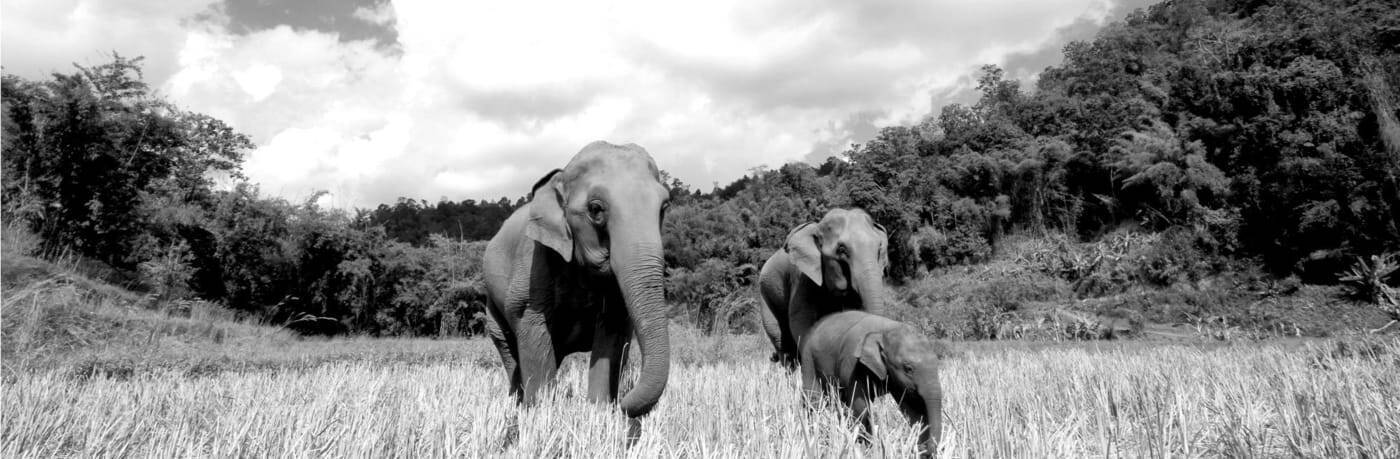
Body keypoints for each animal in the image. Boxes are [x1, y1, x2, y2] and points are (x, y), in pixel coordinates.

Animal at [482, 141, 672, 429]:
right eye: (595, 209)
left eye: (664, 207)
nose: (624, 405)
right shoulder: (533, 262)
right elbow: (532, 327)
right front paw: (540, 417)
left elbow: (611, 334)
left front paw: (600, 414)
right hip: (492, 309)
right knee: (510, 352)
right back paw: (514, 406)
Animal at [758, 208, 889, 368]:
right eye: (842, 249)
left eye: (879, 249)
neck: (818, 227)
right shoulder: (802, 277)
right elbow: (800, 321)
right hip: (765, 293)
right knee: (781, 340)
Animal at [800, 310, 945, 458]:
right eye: (908, 368)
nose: (925, 450)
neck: (886, 330)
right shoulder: (852, 362)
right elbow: (861, 406)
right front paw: (865, 447)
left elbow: (912, 409)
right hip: (808, 357)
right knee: (813, 399)